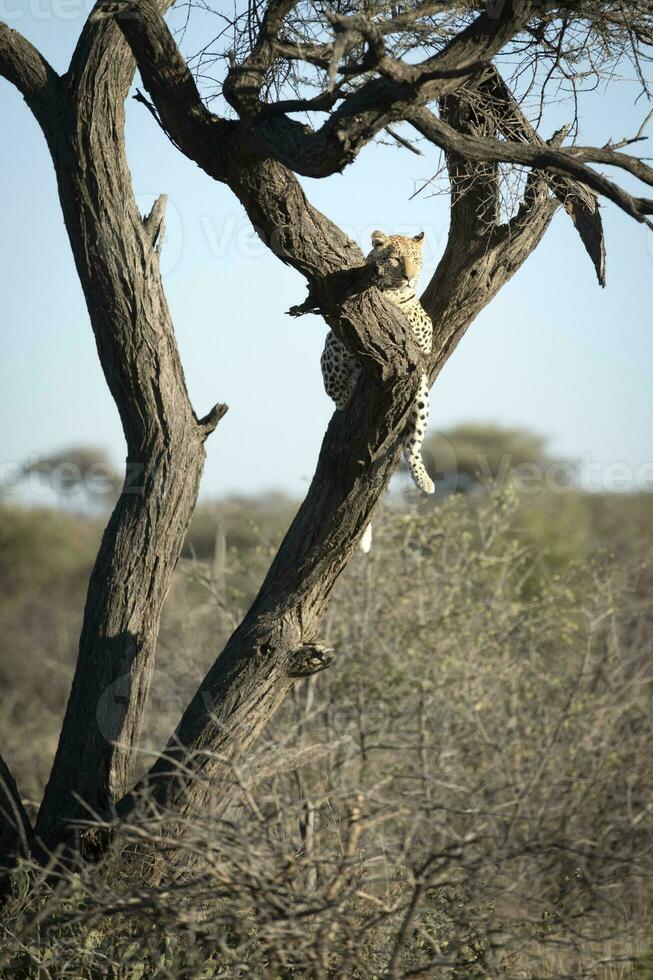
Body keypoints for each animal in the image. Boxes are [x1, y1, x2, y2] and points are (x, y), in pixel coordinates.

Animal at [320, 231, 432, 552]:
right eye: (395, 259)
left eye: (416, 259)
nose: (408, 277)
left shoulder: (424, 333)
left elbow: (414, 318)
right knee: (337, 389)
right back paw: (348, 389)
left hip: (421, 389)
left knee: (413, 443)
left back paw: (424, 479)